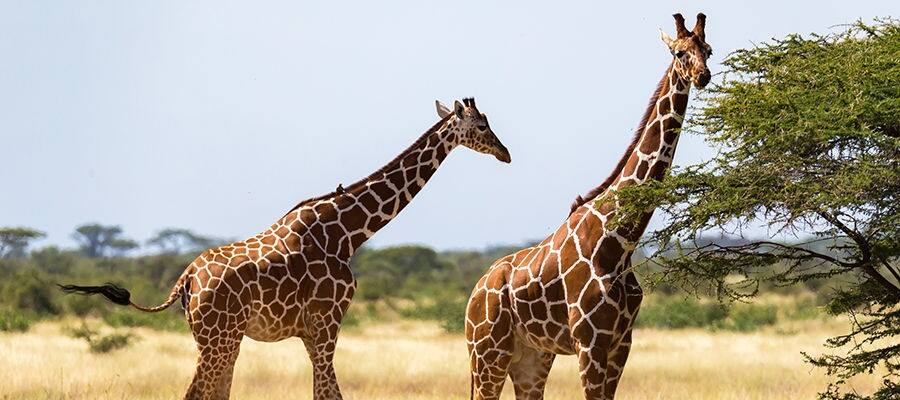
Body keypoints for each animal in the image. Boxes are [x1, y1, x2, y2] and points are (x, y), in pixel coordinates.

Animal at [60, 97, 510, 400]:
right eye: (481, 126)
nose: (505, 153)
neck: (348, 233)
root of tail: (185, 280)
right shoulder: (328, 323)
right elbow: (328, 393)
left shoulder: (311, 333)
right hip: (217, 339)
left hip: (222, 339)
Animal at [464, 14, 712, 400]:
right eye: (680, 52)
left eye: (708, 50)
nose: (703, 76)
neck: (621, 240)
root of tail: (473, 295)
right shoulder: (589, 341)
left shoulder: (621, 342)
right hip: (487, 352)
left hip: (531, 357)